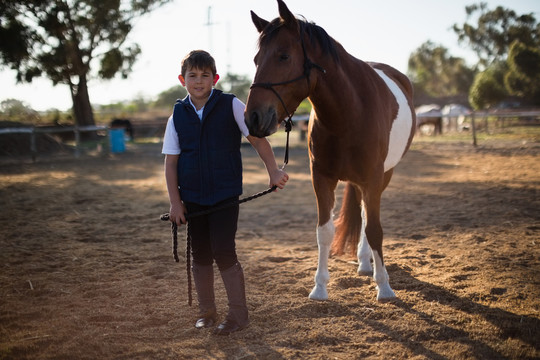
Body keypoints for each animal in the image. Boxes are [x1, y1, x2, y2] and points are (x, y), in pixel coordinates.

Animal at [246, 0, 418, 300]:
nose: (252, 118)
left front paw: (384, 286)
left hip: (384, 175)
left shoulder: (373, 178)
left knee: (366, 216)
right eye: (257, 60)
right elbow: (324, 232)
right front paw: (320, 287)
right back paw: (363, 263)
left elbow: (375, 229)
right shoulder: (322, 178)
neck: (350, 113)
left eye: (283, 56)